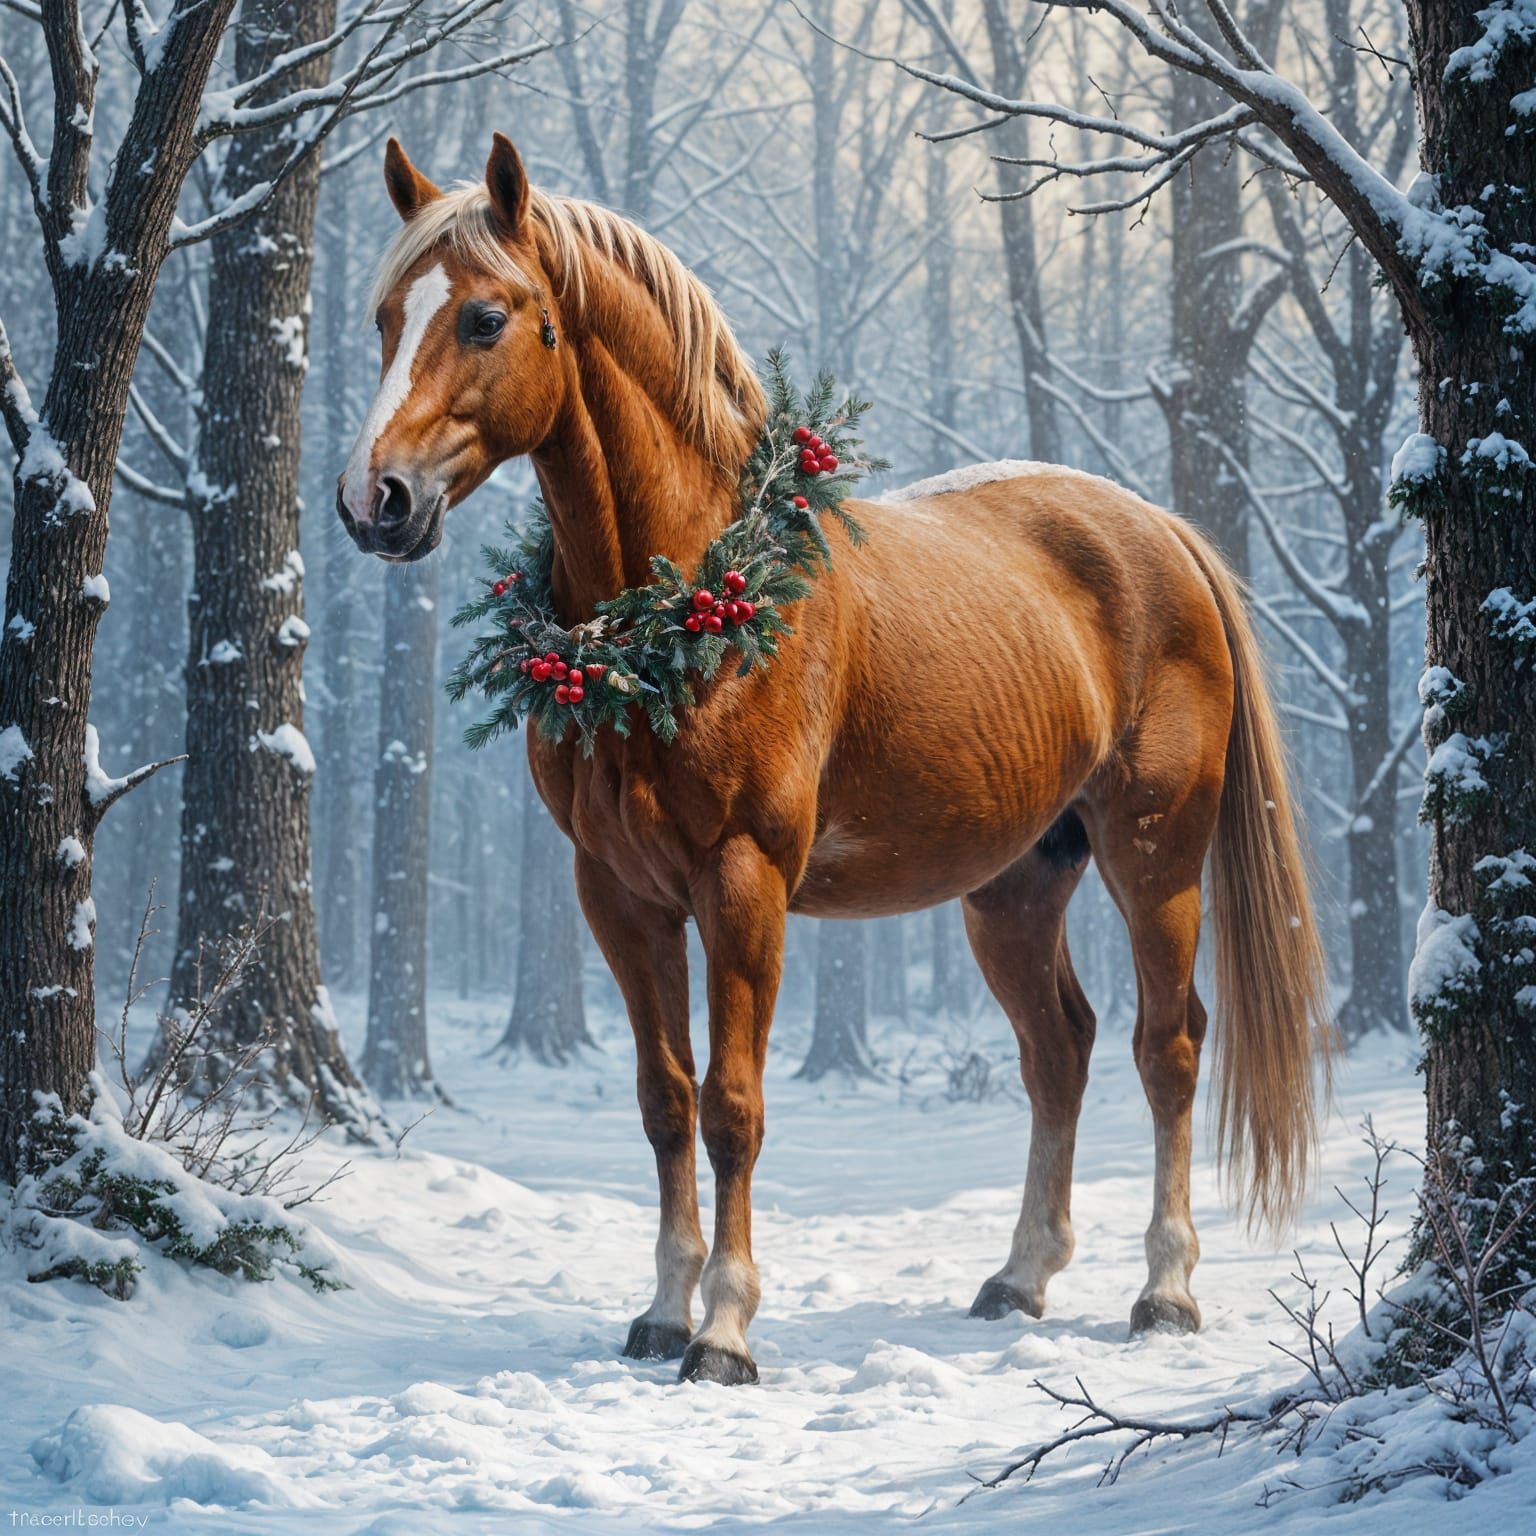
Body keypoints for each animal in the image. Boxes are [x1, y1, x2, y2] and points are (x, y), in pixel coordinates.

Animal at [337, 134, 1329, 1386]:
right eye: (384, 317)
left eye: (481, 317)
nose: (375, 499)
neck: (687, 612)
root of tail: (1164, 534)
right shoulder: (618, 894)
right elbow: (663, 1101)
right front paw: (660, 1311)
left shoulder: (744, 881)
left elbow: (733, 1106)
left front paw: (723, 1331)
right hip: (1013, 884)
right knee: (1059, 1049)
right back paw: (1020, 1275)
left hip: (1155, 857)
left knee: (1171, 1046)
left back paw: (1166, 1289)